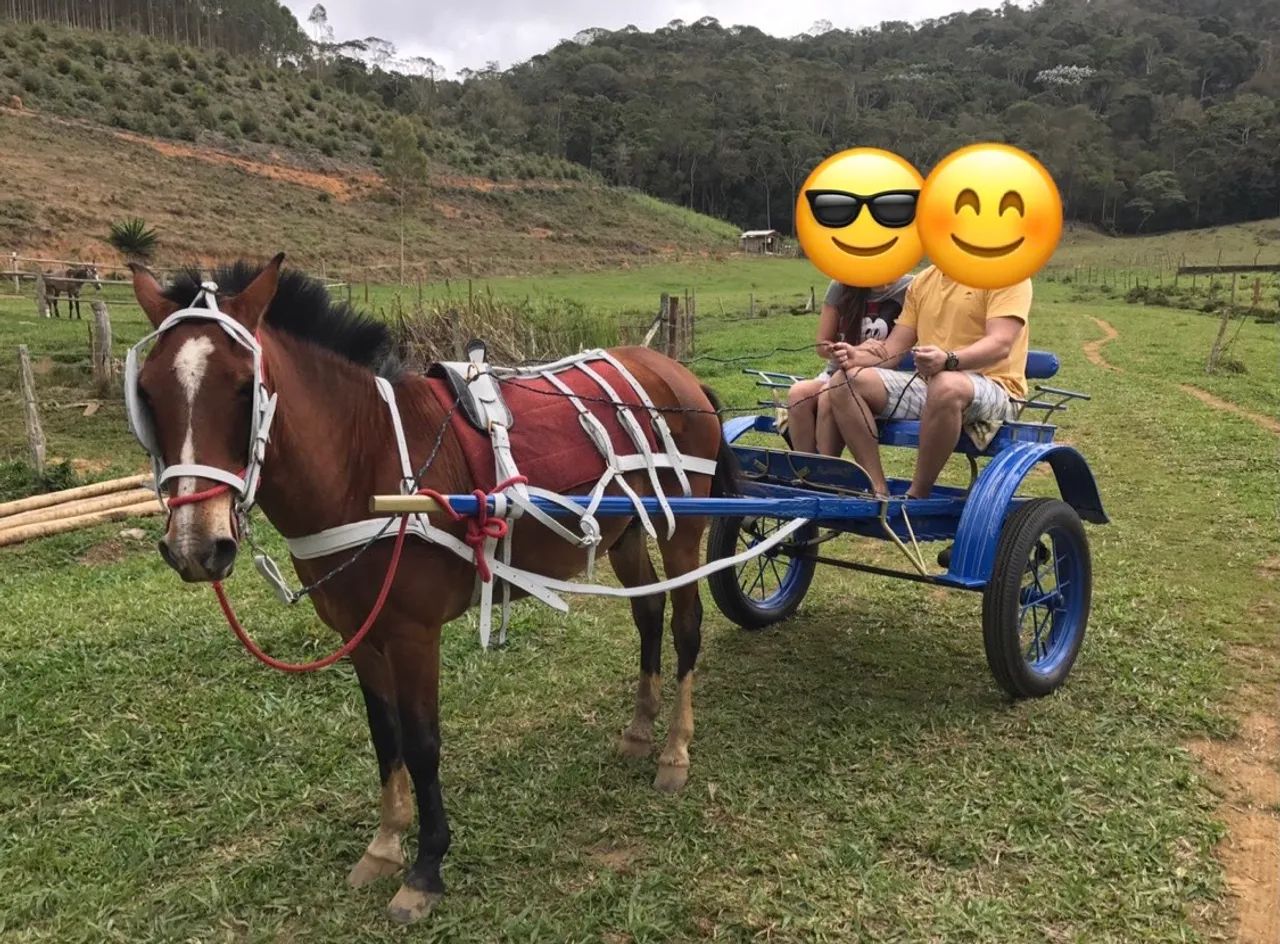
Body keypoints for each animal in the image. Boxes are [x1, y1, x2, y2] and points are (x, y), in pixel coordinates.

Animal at [127, 255, 735, 924]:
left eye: (244, 389)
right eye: (147, 393)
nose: (195, 546)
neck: (367, 461)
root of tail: (678, 374)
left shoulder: (413, 635)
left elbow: (421, 743)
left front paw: (425, 867)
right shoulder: (361, 635)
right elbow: (383, 735)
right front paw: (386, 844)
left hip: (684, 530)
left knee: (685, 626)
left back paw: (675, 750)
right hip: (626, 535)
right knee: (648, 613)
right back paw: (639, 730)